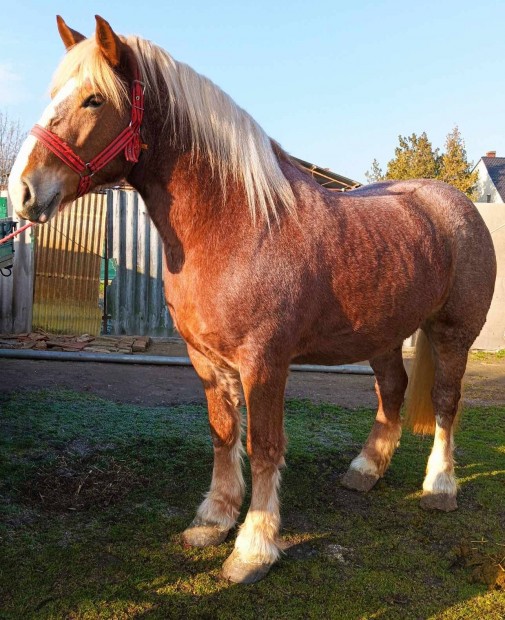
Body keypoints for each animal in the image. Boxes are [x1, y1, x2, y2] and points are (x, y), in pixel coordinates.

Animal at [7, 15, 496, 588]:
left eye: (93, 100)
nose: (22, 191)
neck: (236, 225)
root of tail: (452, 203)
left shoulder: (264, 363)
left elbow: (264, 447)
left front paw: (253, 548)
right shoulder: (206, 360)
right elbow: (224, 435)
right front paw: (214, 519)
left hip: (453, 333)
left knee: (445, 401)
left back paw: (440, 487)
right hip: (383, 334)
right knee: (392, 391)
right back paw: (364, 471)